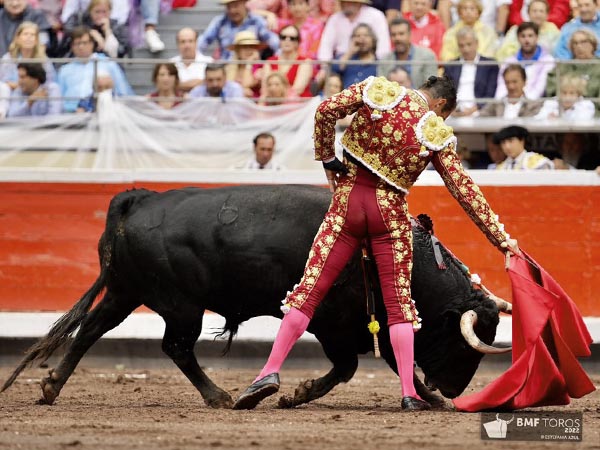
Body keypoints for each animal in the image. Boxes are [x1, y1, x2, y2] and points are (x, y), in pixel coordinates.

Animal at [3, 183, 502, 408]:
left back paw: (51, 386)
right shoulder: (333, 322)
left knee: (91, 329)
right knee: (175, 347)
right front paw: (294, 393)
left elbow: (389, 359)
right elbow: (350, 366)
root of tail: (141, 198)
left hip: (126, 291)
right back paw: (222, 396)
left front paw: (427, 397)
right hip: (180, 305)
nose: (455, 389)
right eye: (462, 344)